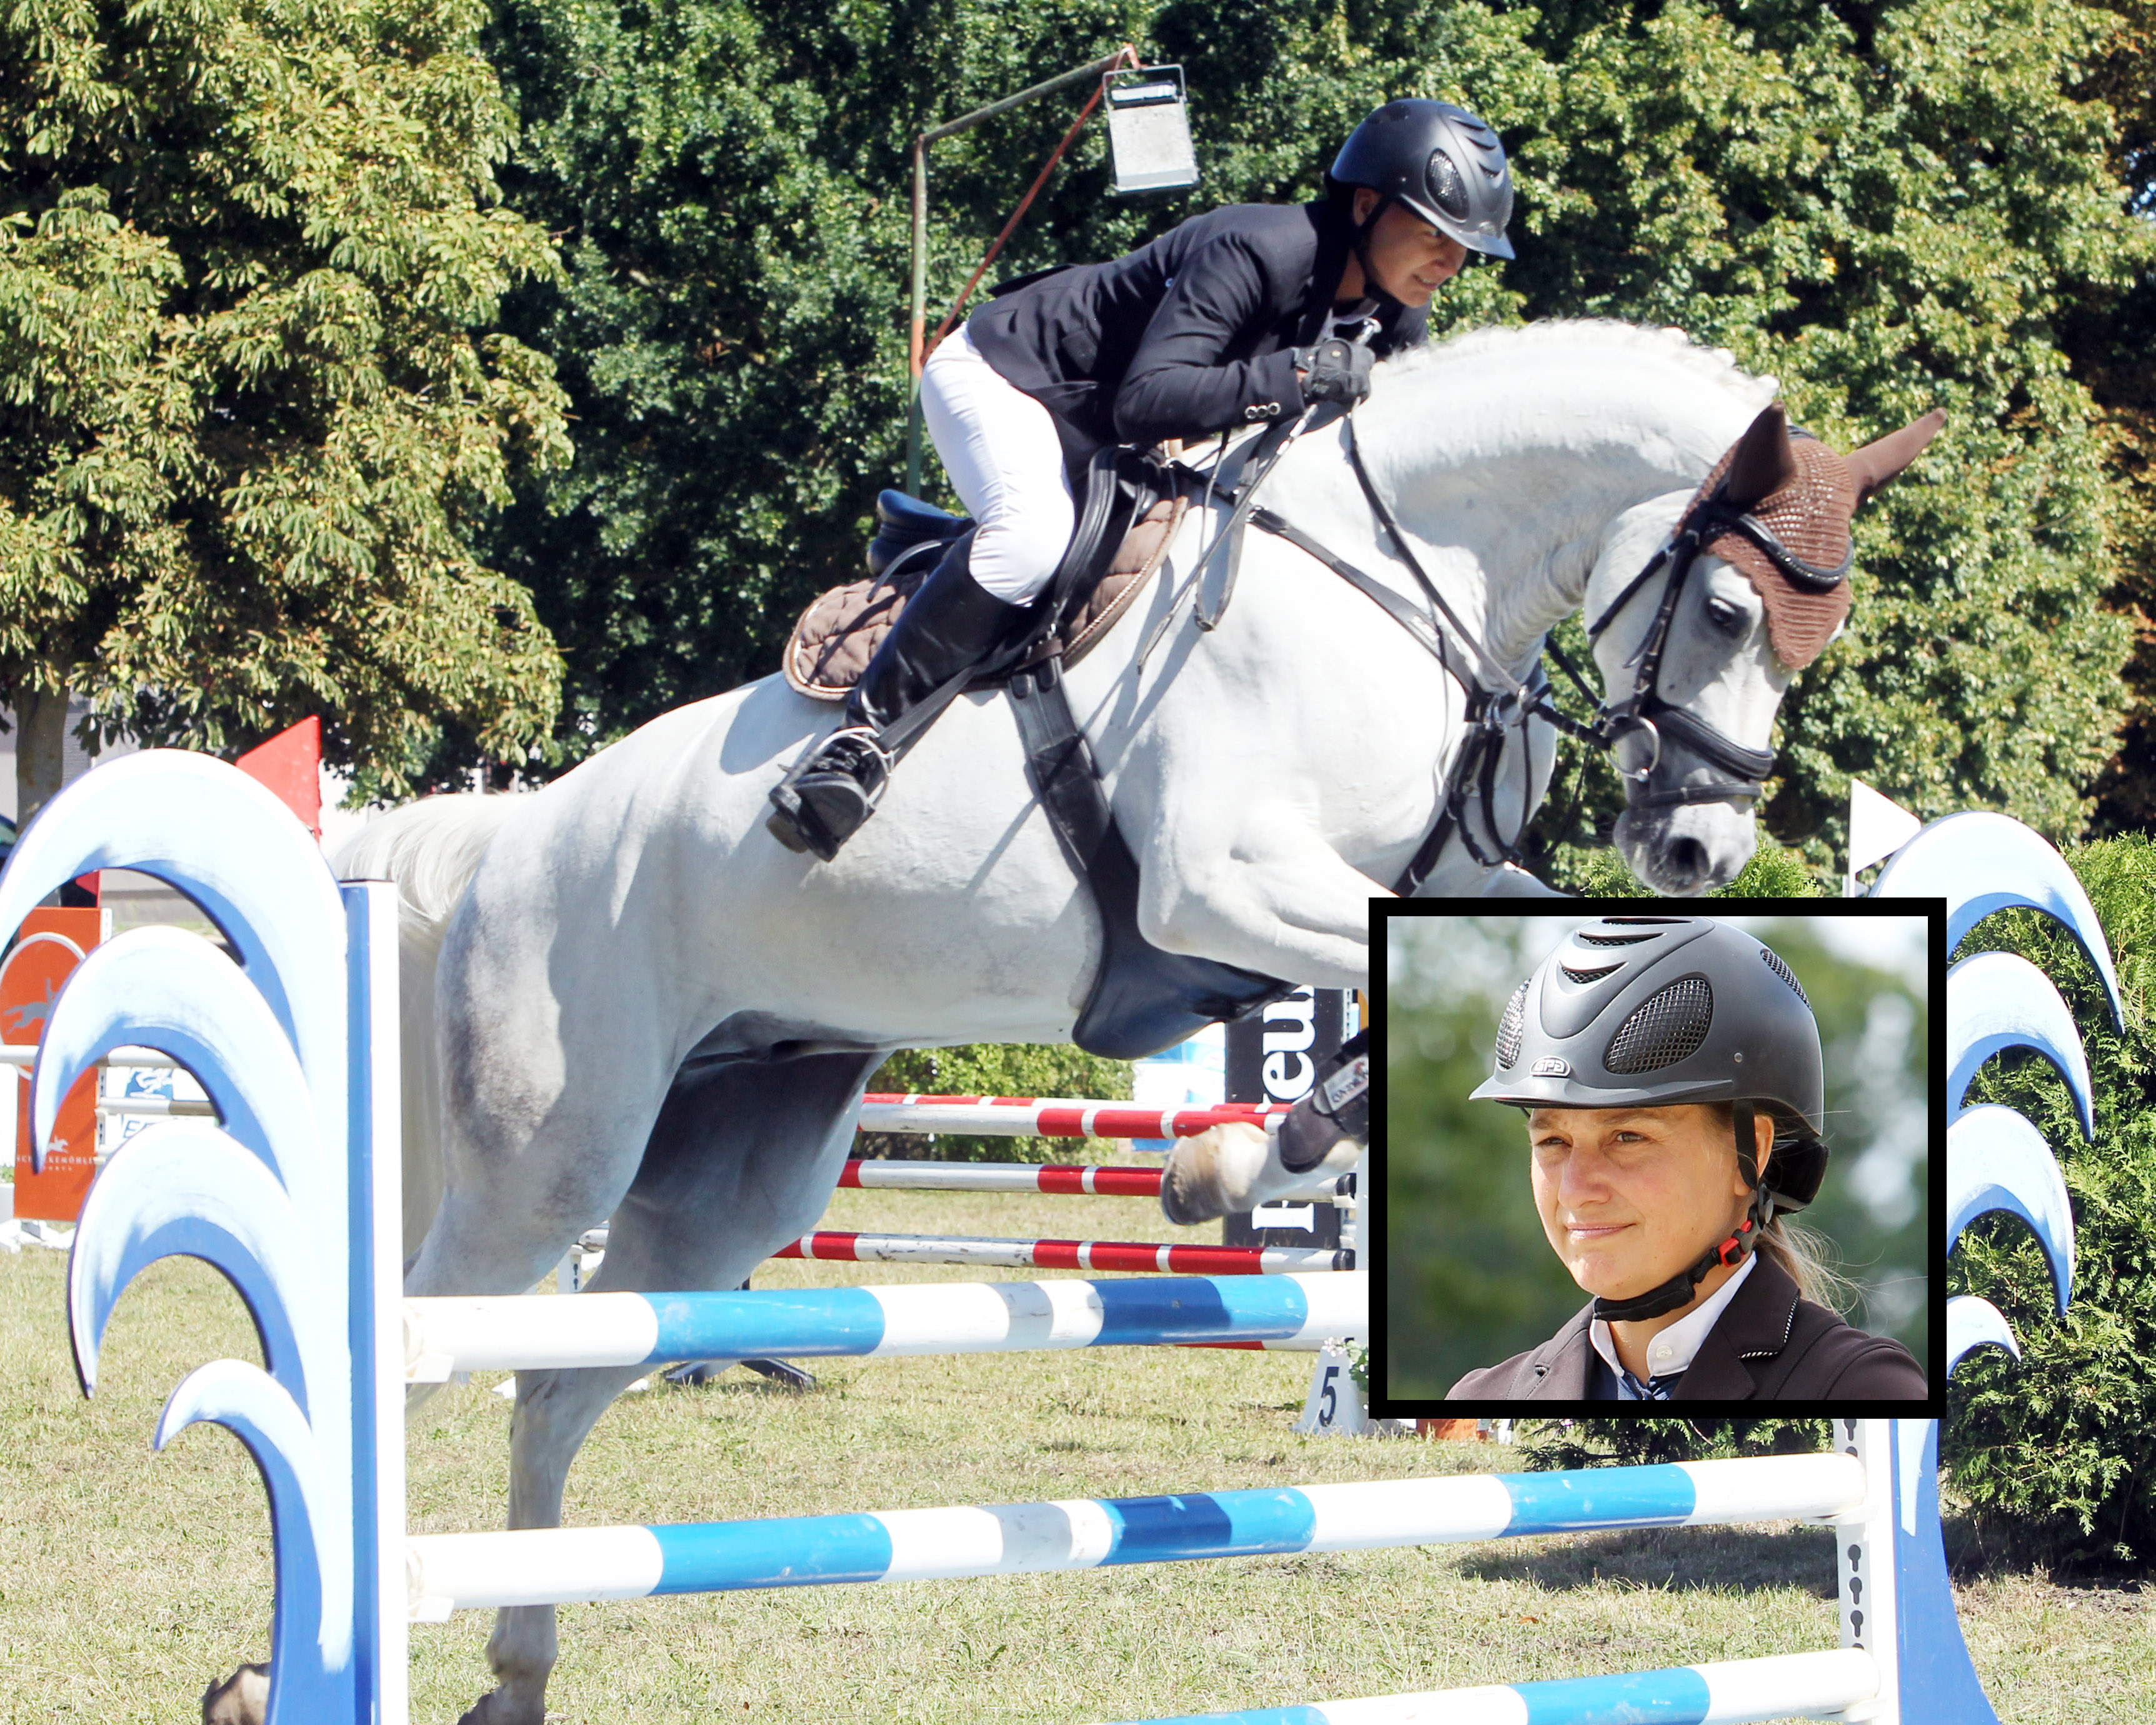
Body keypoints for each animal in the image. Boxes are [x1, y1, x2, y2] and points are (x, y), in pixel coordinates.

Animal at [214, 319, 1940, 1725]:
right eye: (1727, 609)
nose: (1698, 850)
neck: (1402, 583)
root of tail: (518, 829)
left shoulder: (1427, 871)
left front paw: (1246, 1156)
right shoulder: (1220, 885)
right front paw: (1238, 1162)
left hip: (724, 1182)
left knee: (556, 1386)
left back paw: (515, 1674)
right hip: (547, 1160)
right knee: (417, 1355)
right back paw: (267, 1675)